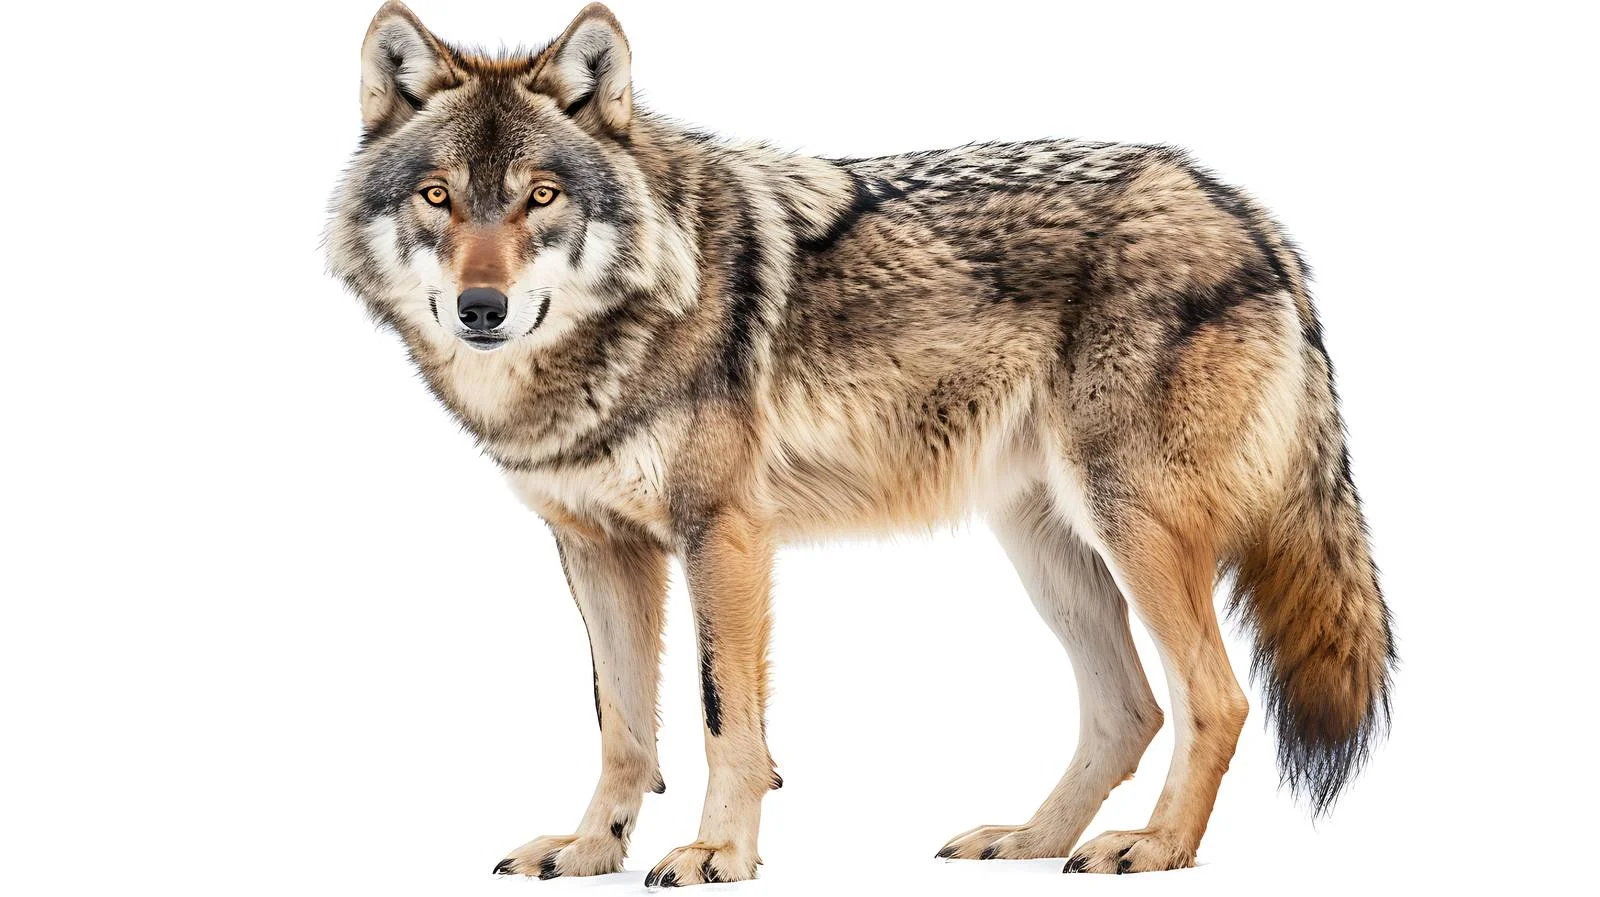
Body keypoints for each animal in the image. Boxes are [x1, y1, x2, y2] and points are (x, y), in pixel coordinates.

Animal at [326, 1, 1394, 884]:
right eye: (437, 197)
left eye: (541, 196)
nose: (482, 307)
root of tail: (1248, 211)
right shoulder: (597, 547)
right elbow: (622, 725)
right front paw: (592, 848)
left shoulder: (724, 534)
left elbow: (724, 718)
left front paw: (718, 853)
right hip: (1047, 548)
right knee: (1131, 708)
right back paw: (1033, 839)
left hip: (1130, 527)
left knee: (1216, 699)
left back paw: (1157, 845)